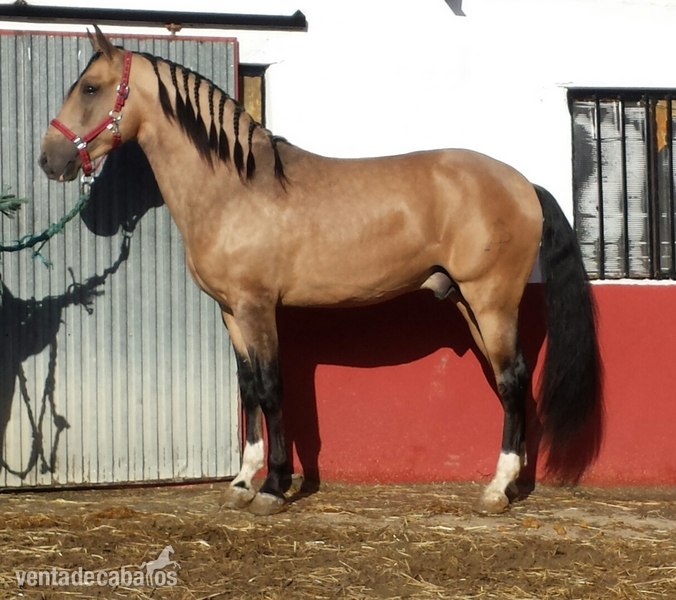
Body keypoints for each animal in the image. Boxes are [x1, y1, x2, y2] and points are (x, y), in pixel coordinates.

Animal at [39, 26, 600, 516]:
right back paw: (512, 483)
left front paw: (272, 487)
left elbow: (271, 388)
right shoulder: (231, 313)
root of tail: (524, 183)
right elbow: (248, 389)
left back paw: (497, 489)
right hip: (467, 302)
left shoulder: (258, 308)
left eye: (90, 87)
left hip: (491, 300)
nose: (49, 159)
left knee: (512, 379)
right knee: (512, 384)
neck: (235, 188)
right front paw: (241, 483)